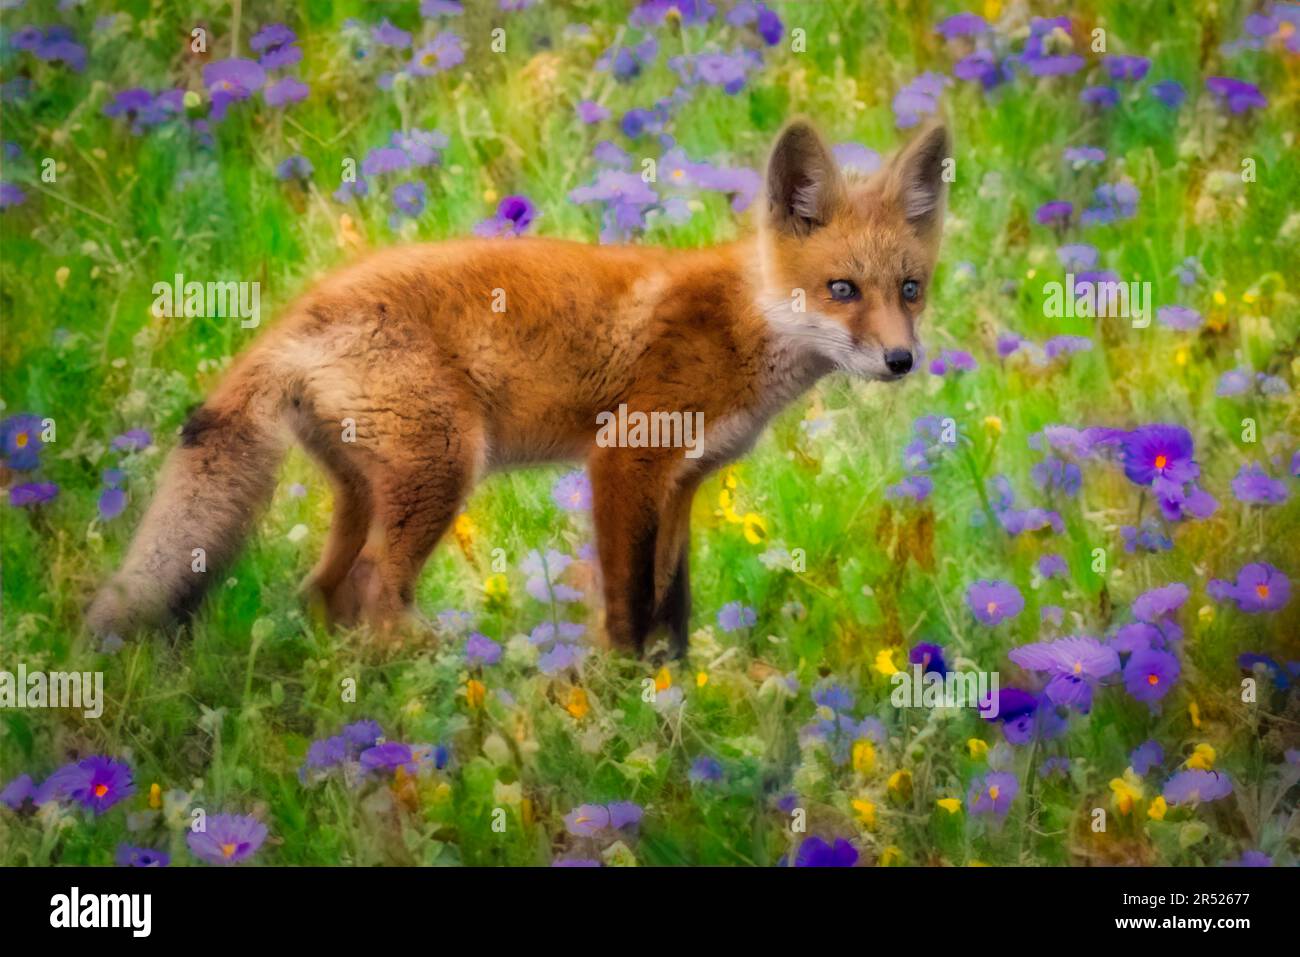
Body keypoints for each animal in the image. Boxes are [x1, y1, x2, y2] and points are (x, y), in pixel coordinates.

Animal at [87, 118, 951, 657]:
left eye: (910, 288)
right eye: (842, 289)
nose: (901, 361)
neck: (743, 327)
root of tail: (300, 309)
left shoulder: (682, 484)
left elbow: (673, 604)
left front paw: (678, 694)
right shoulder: (624, 461)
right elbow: (629, 604)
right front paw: (626, 696)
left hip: (367, 489)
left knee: (323, 592)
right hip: (441, 471)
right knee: (371, 592)